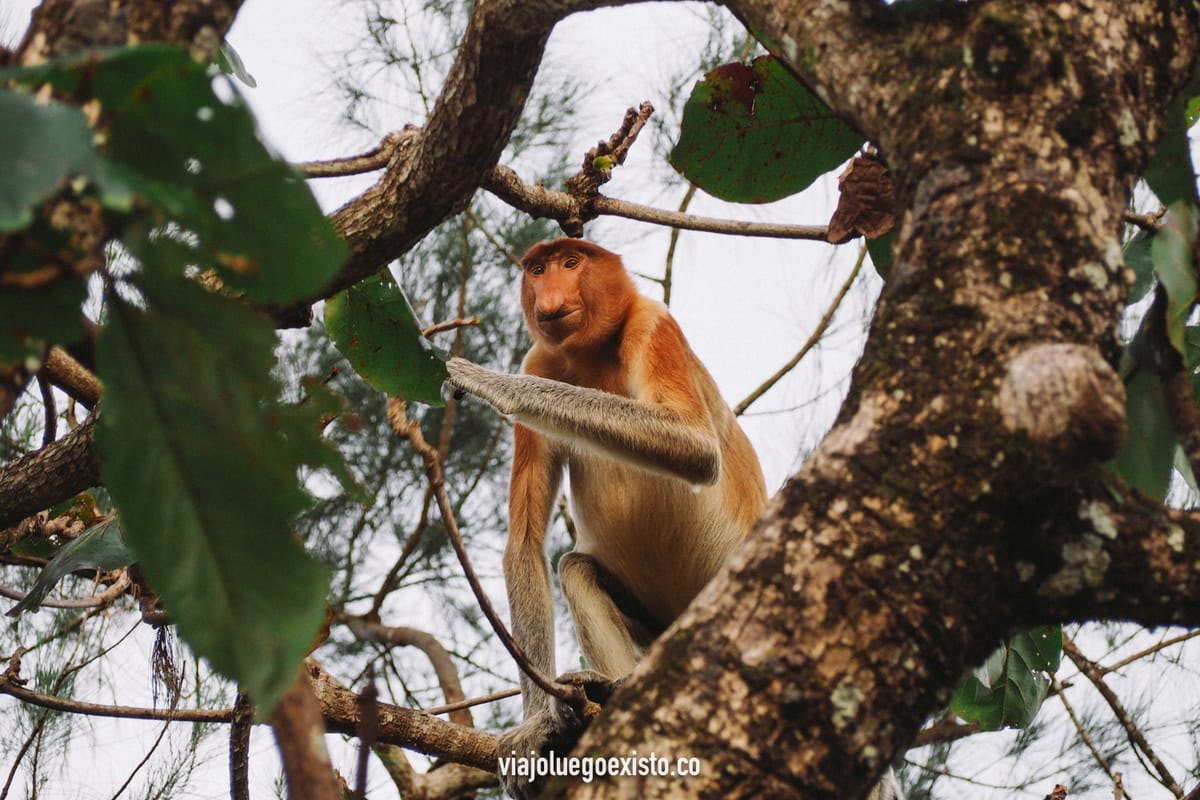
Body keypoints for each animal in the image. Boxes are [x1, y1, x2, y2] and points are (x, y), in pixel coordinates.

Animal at [447, 239, 901, 800]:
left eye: (572, 263)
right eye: (537, 269)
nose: (548, 296)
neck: (592, 354)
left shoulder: (651, 323)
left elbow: (694, 446)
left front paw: (491, 383)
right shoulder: (542, 357)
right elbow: (526, 543)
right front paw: (537, 733)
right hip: (659, 625)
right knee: (576, 568)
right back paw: (603, 701)